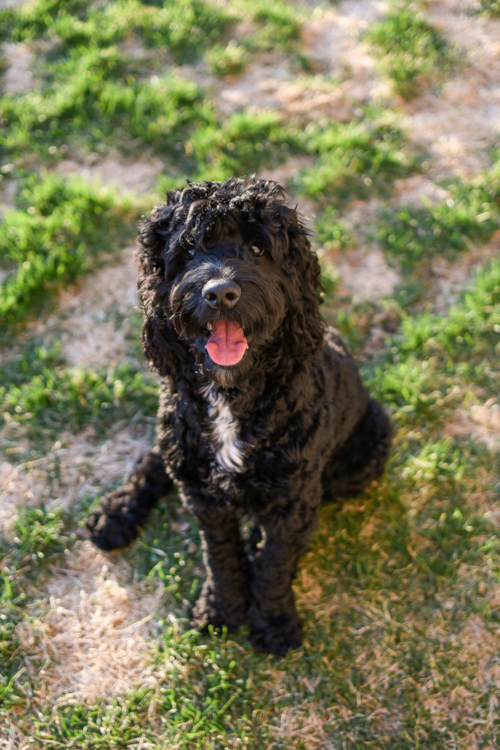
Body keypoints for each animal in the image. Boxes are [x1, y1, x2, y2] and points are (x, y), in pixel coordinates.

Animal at [86, 178, 392, 656]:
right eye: (190, 248)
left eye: (258, 248)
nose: (220, 293)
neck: (232, 394)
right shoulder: (205, 497)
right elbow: (221, 557)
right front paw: (220, 609)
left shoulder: (293, 499)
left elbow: (273, 562)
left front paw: (274, 620)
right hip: (179, 445)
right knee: (154, 461)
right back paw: (116, 513)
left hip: (365, 451)